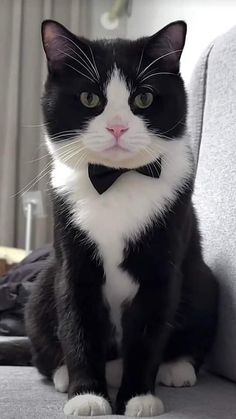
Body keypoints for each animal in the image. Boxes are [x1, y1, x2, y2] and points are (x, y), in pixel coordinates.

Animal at [18, 18, 218, 416]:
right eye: (89, 98)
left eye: (143, 98)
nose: (117, 128)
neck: (116, 181)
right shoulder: (72, 265)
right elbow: (77, 324)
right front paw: (86, 396)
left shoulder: (163, 264)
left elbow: (149, 330)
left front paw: (139, 397)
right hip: (43, 284)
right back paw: (63, 373)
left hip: (203, 278)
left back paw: (177, 367)